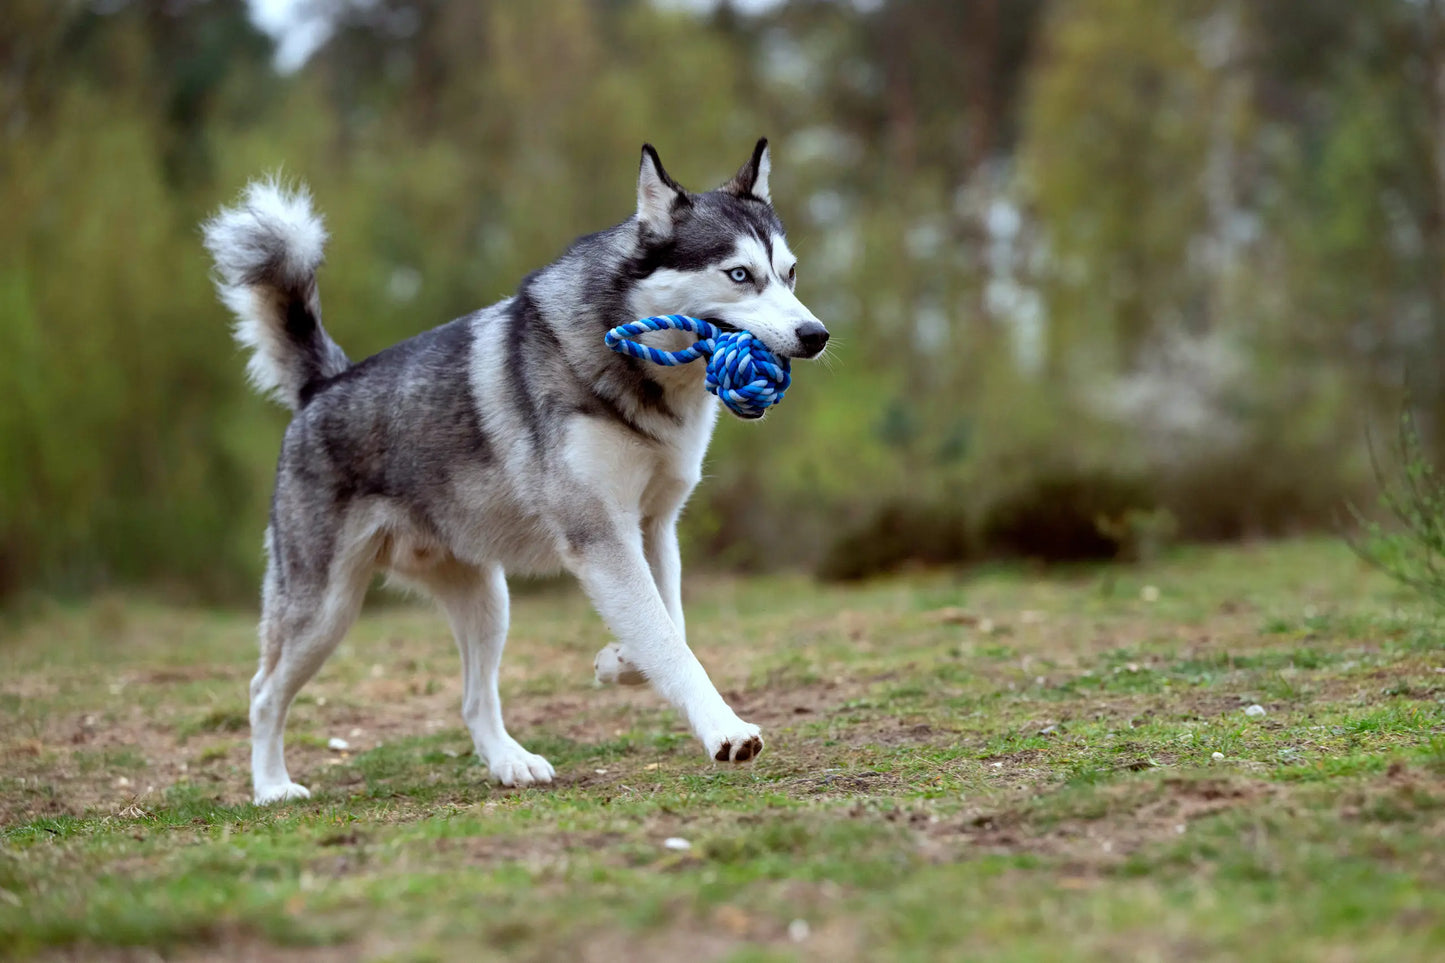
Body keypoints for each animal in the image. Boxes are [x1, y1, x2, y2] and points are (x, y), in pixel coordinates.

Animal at [206, 140, 838, 803]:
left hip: (488, 601)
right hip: (323, 611)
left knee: (472, 699)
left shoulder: (652, 527)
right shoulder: (600, 537)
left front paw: (618, 661)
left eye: (790, 273)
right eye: (740, 275)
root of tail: (323, 386)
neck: (632, 370)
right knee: (262, 693)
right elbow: (669, 640)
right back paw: (272, 787)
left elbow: (670, 624)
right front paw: (724, 729)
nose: (816, 335)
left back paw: (510, 761)